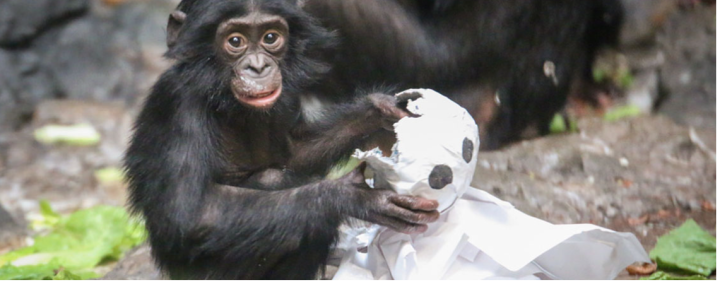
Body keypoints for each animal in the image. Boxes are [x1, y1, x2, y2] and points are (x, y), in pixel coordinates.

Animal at [124, 0, 438, 278]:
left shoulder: (286, 98)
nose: (258, 66)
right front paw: (352, 196)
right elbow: (191, 214)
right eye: (235, 41)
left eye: (271, 37)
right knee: (276, 185)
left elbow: (297, 154)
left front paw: (381, 110)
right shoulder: (177, 103)